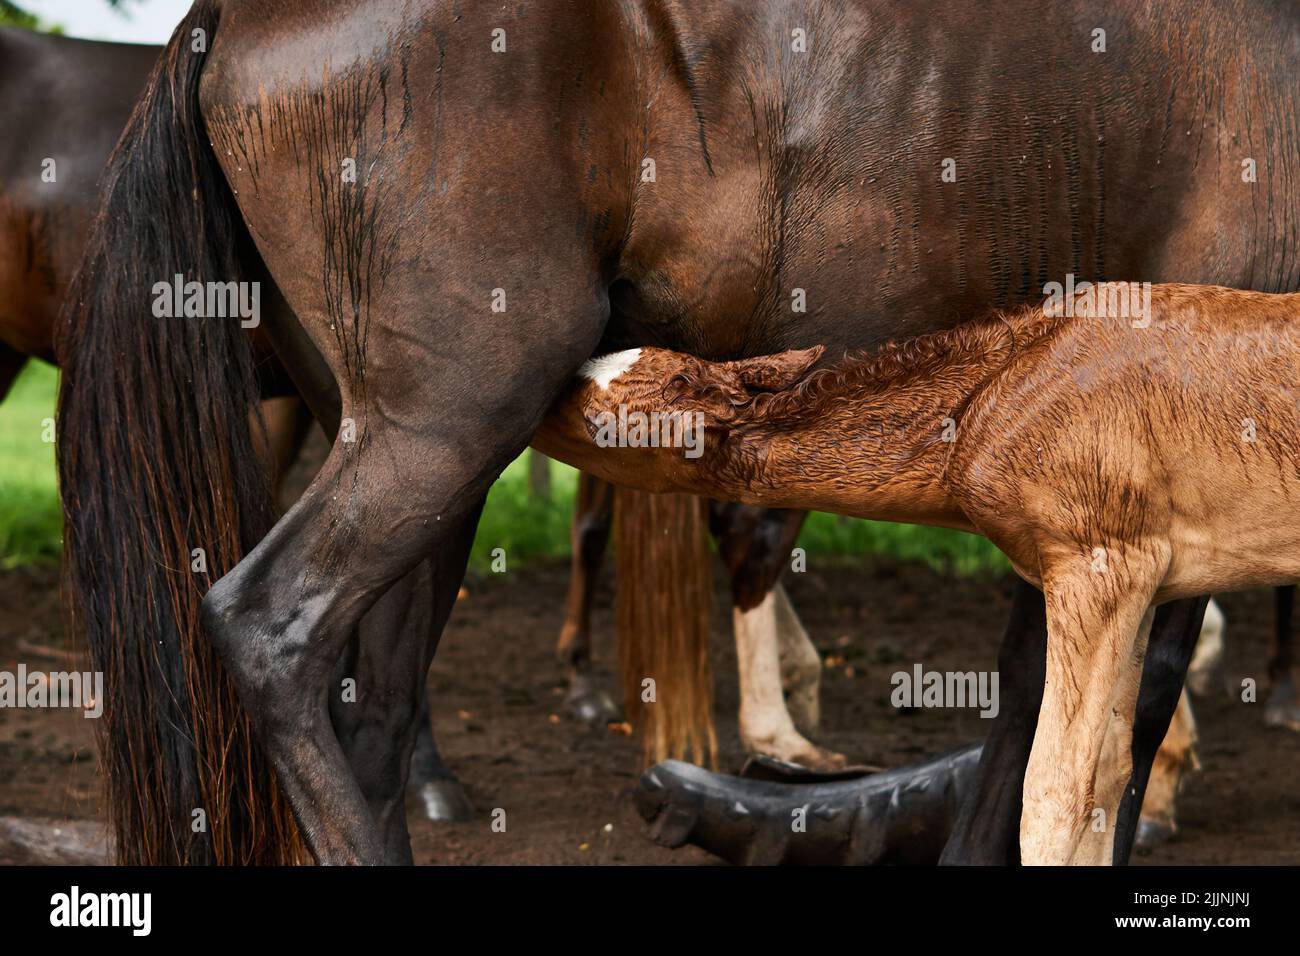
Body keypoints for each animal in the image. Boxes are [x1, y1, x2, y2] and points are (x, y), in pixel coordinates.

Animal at [537, 282, 1300, 863]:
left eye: (666, 386)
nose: (550, 390)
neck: (982, 407)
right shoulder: (1146, 572)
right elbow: (1108, 779)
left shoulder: (1097, 560)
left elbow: (1054, 794)